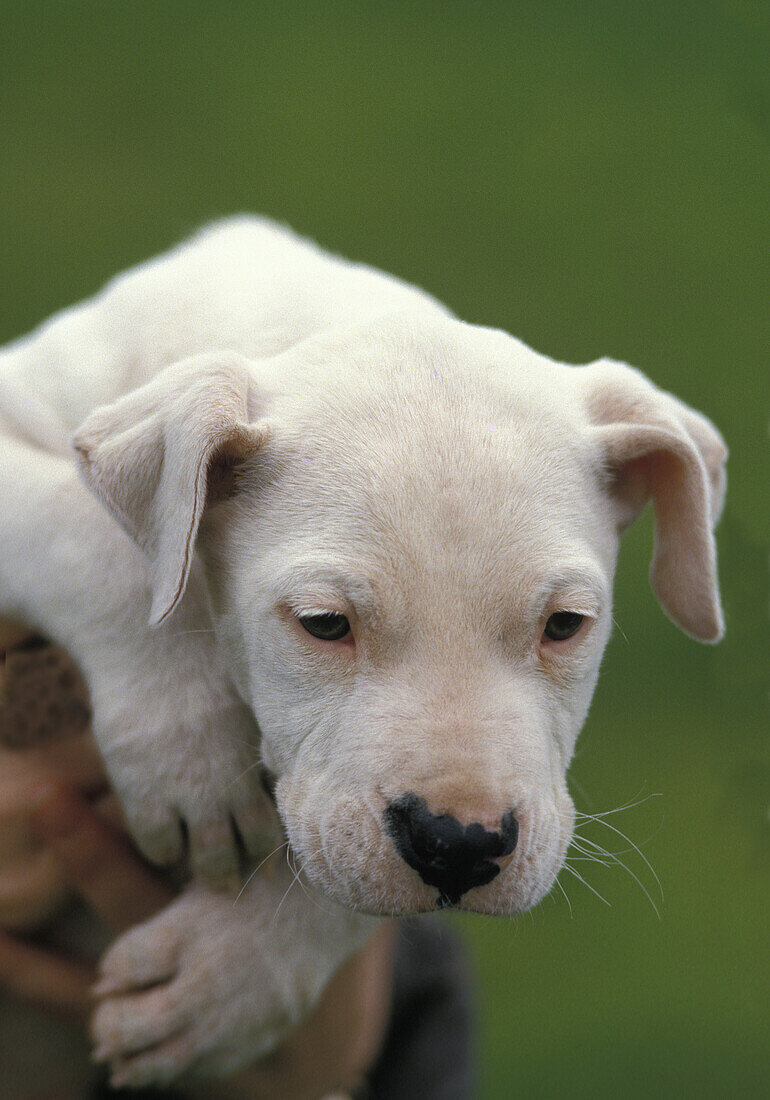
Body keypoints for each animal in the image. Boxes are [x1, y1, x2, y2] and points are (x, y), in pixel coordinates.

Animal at [0, 218, 726, 1086]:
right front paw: (189, 752)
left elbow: (336, 869)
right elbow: (84, 535)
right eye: (323, 624)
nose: (459, 846)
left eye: (565, 625)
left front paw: (227, 975)